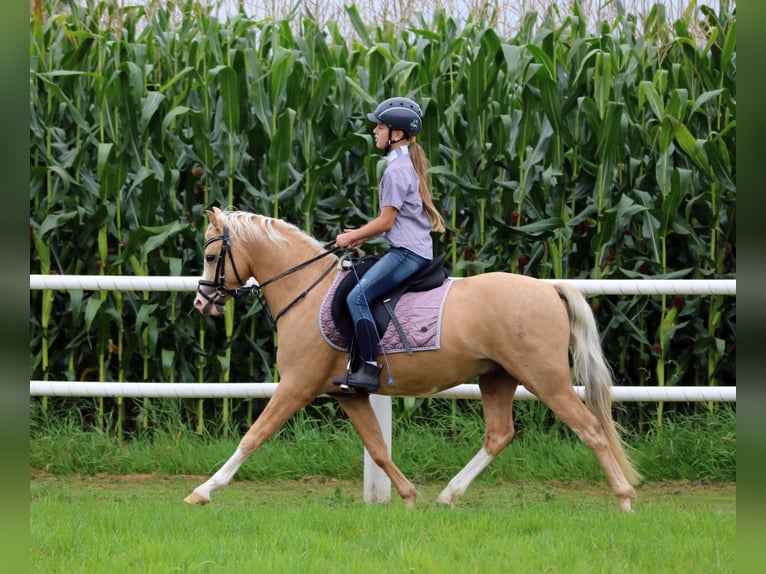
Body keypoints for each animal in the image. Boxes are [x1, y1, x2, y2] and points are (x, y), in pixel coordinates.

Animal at [187, 206, 641, 511]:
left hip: (545, 379)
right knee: (499, 434)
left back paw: (624, 498)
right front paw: (408, 496)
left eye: (210, 257)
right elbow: (378, 449)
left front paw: (203, 491)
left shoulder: (296, 386)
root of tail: (548, 288)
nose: (201, 302)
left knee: (590, 428)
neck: (307, 291)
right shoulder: (349, 395)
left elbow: (253, 436)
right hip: (497, 377)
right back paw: (448, 494)